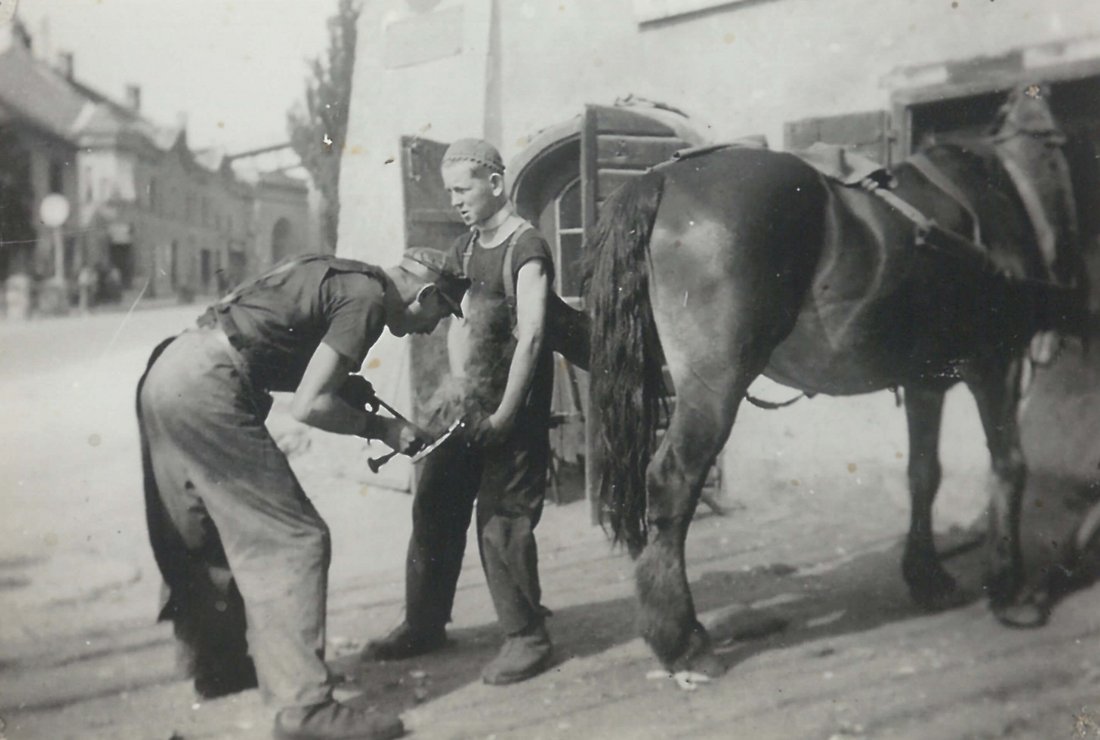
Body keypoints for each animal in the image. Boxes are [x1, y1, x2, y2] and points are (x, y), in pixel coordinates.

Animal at [585, 83, 1091, 677]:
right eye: (1063, 148)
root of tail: (664, 179)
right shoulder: (997, 365)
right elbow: (1009, 467)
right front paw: (1009, 590)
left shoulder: (925, 383)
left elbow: (924, 474)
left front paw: (928, 576)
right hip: (713, 388)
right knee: (672, 480)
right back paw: (681, 639)